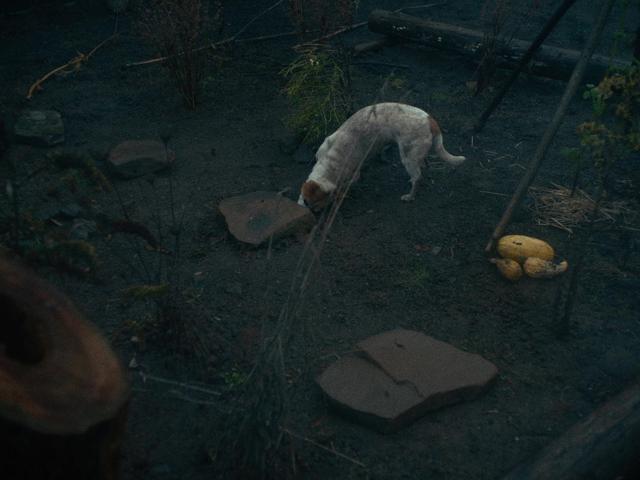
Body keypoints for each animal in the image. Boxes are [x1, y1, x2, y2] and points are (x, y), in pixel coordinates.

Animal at [297, 102, 466, 210]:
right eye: (308, 202)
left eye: (318, 206)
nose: (313, 212)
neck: (332, 161)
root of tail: (430, 120)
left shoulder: (353, 174)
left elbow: (347, 184)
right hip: (415, 154)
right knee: (423, 166)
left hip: (407, 157)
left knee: (418, 176)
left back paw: (410, 196)